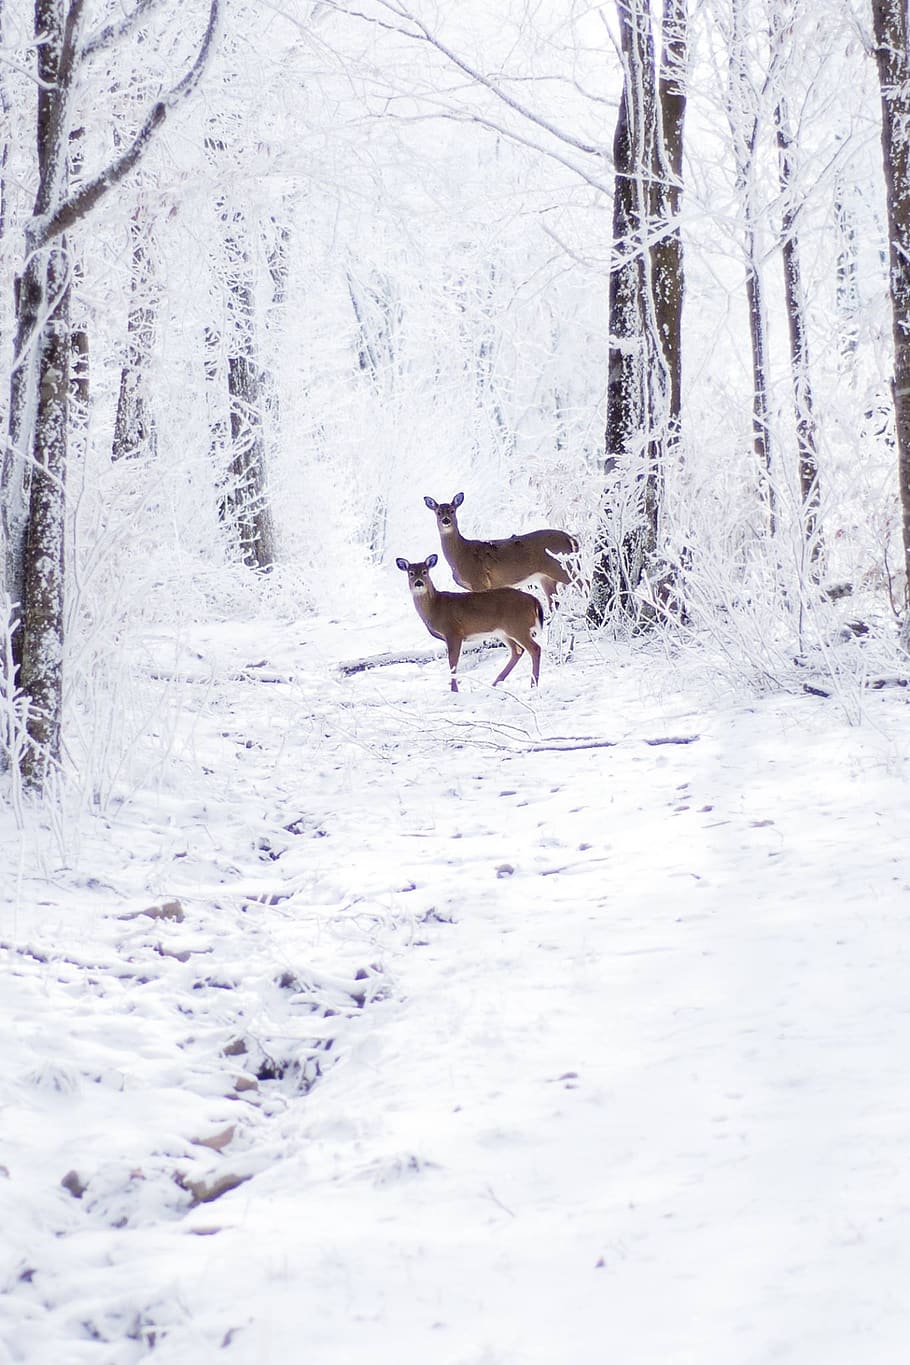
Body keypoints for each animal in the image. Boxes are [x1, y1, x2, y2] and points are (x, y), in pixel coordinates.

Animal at [396, 554, 542, 692]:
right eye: (411, 573)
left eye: (425, 571)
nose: (418, 583)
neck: (435, 606)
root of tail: (534, 600)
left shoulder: (453, 632)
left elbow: (453, 662)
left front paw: (454, 690)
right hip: (504, 631)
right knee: (518, 650)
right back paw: (495, 683)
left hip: (518, 626)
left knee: (535, 648)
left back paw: (533, 684)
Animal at [424, 491, 578, 612]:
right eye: (438, 512)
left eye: (452, 510)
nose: (445, 520)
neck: (460, 556)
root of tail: (570, 538)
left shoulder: (479, 581)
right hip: (546, 577)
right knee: (554, 603)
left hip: (561, 567)